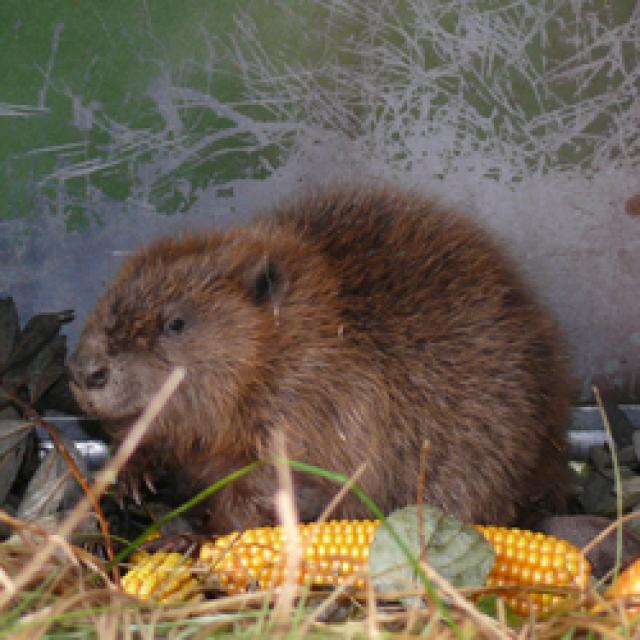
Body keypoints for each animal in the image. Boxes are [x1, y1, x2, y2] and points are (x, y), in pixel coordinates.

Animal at [69, 186, 568, 536]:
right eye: (110, 293)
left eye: (176, 323)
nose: (84, 370)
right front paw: (132, 478)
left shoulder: (318, 405)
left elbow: (270, 485)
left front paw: (195, 538)